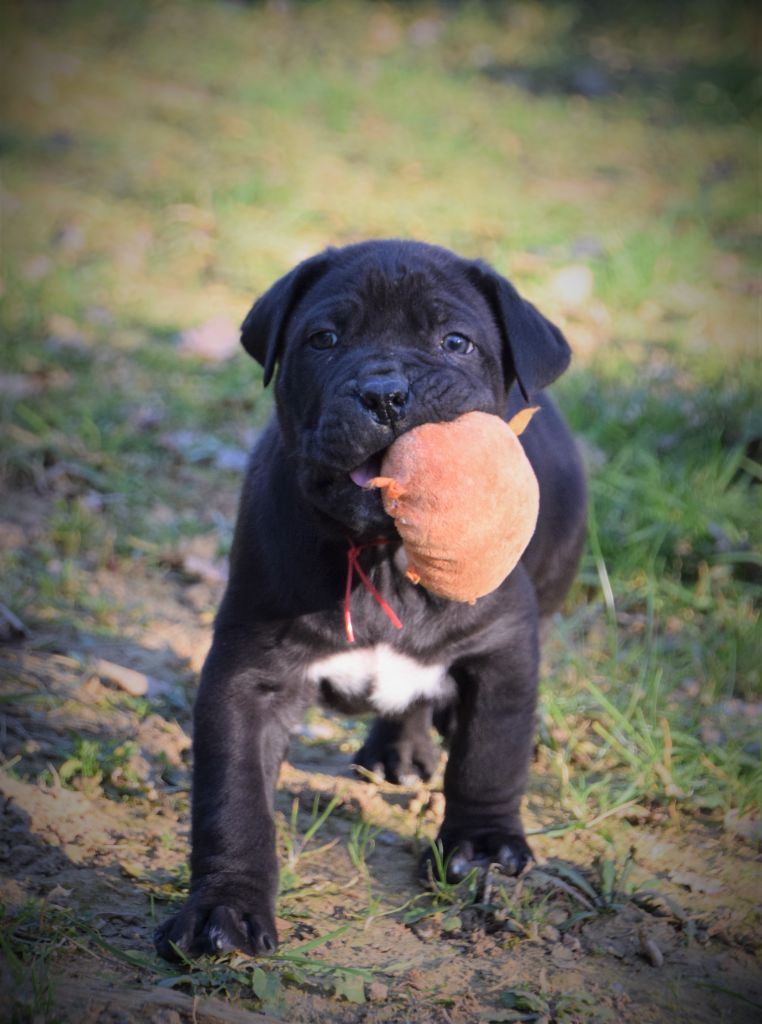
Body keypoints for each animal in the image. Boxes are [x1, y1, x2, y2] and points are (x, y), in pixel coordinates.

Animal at [153, 239, 581, 958]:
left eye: (455, 341)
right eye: (324, 339)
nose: (384, 393)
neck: (383, 555)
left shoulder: (504, 647)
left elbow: (492, 751)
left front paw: (484, 844)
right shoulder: (248, 672)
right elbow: (233, 799)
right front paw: (225, 907)